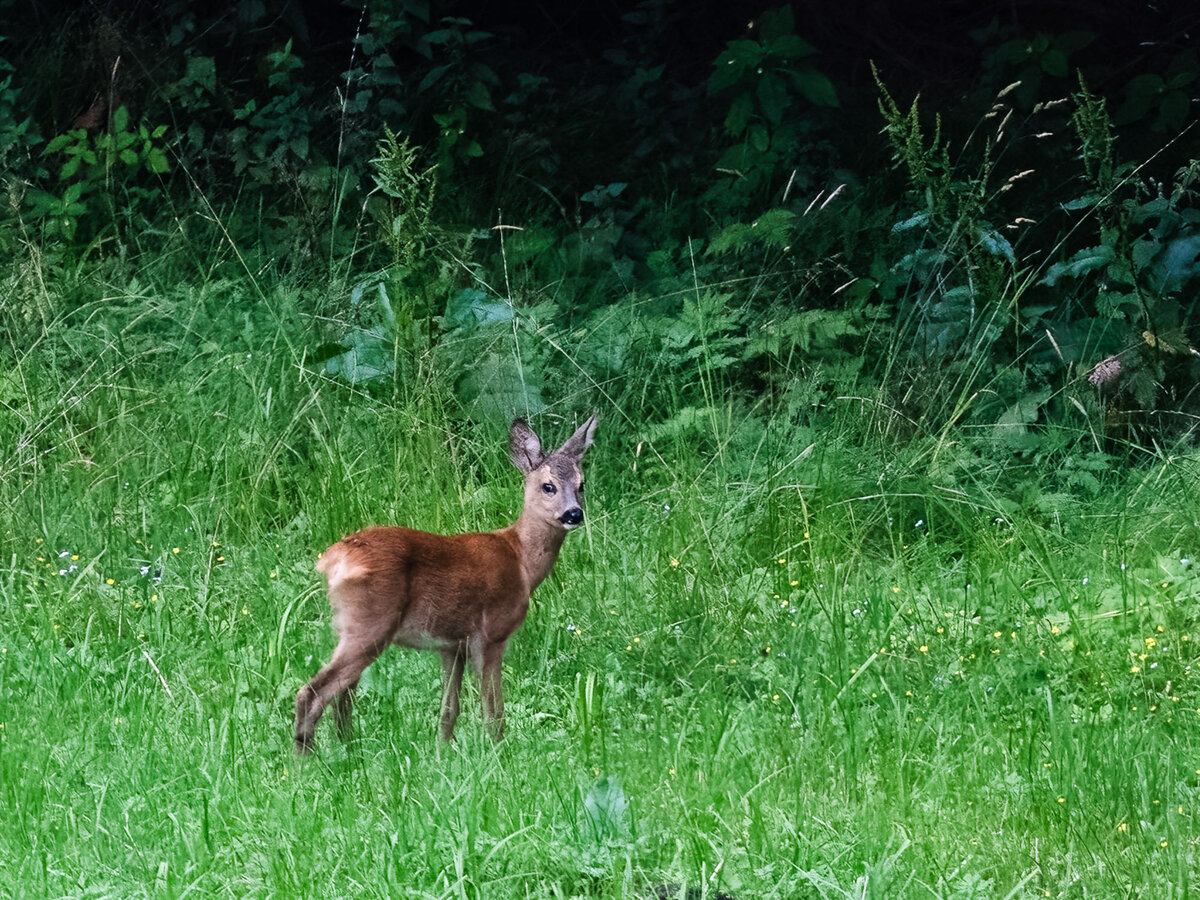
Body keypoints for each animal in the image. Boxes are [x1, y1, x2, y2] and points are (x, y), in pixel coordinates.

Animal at [294, 414, 598, 753]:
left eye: (582, 484)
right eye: (548, 486)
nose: (574, 514)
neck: (520, 561)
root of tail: (333, 559)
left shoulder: (452, 645)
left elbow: (450, 707)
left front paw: (442, 749)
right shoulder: (490, 633)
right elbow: (493, 708)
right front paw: (499, 750)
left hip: (349, 627)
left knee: (342, 693)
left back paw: (349, 749)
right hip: (370, 623)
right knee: (313, 692)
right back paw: (309, 758)